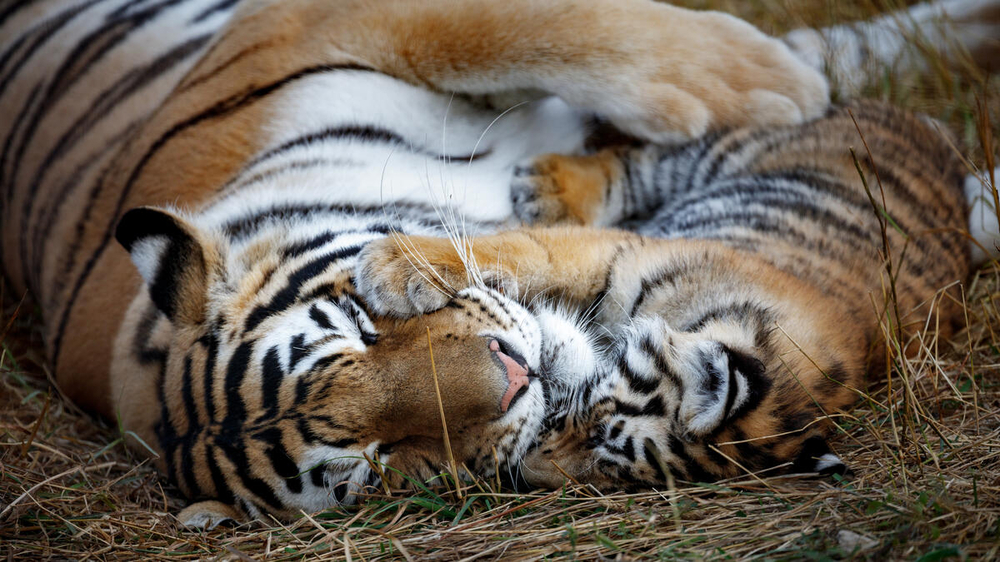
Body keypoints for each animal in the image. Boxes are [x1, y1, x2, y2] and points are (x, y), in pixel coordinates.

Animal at [0, 0, 996, 527]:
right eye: (376, 466)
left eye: (358, 329)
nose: (519, 379)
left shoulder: (310, 26)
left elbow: (509, 26)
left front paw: (759, 81)